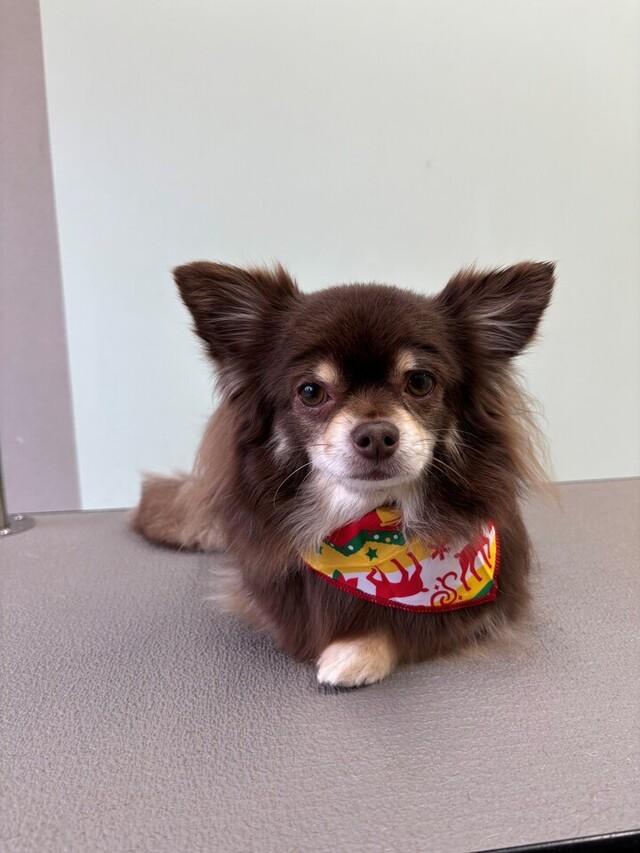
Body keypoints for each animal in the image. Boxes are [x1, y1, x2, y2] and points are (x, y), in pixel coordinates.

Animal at [133, 260, 554, 687]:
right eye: (310, 391)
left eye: (420, 382)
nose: (376, 435)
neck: (366, 517)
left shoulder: (491, 609)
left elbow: (409, 630)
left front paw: (356, 650)